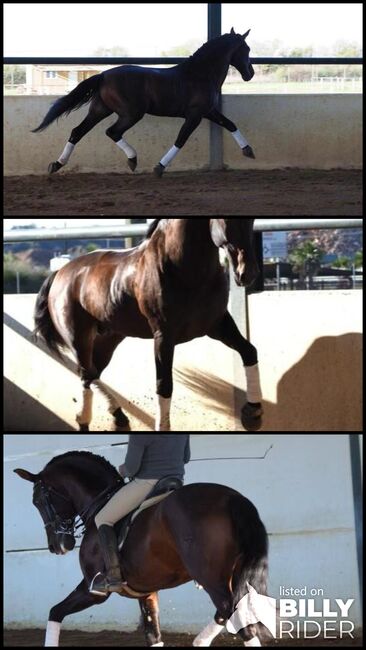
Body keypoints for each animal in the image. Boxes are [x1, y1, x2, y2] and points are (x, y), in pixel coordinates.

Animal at [14, 448, 270, 644]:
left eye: (37, 501)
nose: (57, 546)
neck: (99, 503)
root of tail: (232, 498)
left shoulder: (93, 590)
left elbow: (55, 611)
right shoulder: (146, 592)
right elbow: (153, 636)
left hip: (211, 578)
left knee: (232, 613)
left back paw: (200, 640)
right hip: (232, 575)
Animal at [32, 28, 254, 175]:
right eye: (247, 49)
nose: (250, 74)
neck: (200, 74)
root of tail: (103, 75)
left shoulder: (208, 111)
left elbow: (230, 124)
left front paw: (248, 151)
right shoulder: (195, 115)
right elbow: (181, 139)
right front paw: (159, 167)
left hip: (99, 110)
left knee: (77, 132)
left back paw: (56, 164)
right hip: (131, 114)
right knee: (112, 132)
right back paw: (132, 160)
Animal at [33, 220, 264, 432]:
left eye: (251, 220)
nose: (248, 273)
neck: (185, 271)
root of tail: (60, 273)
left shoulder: (217, 325)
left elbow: (249, 352)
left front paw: (252, 413)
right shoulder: (164, 336)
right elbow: (164, 385)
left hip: (108, 339)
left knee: (90, 375)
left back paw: (111, 418)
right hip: (78, 339)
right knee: (86, 373)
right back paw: (91, 419)